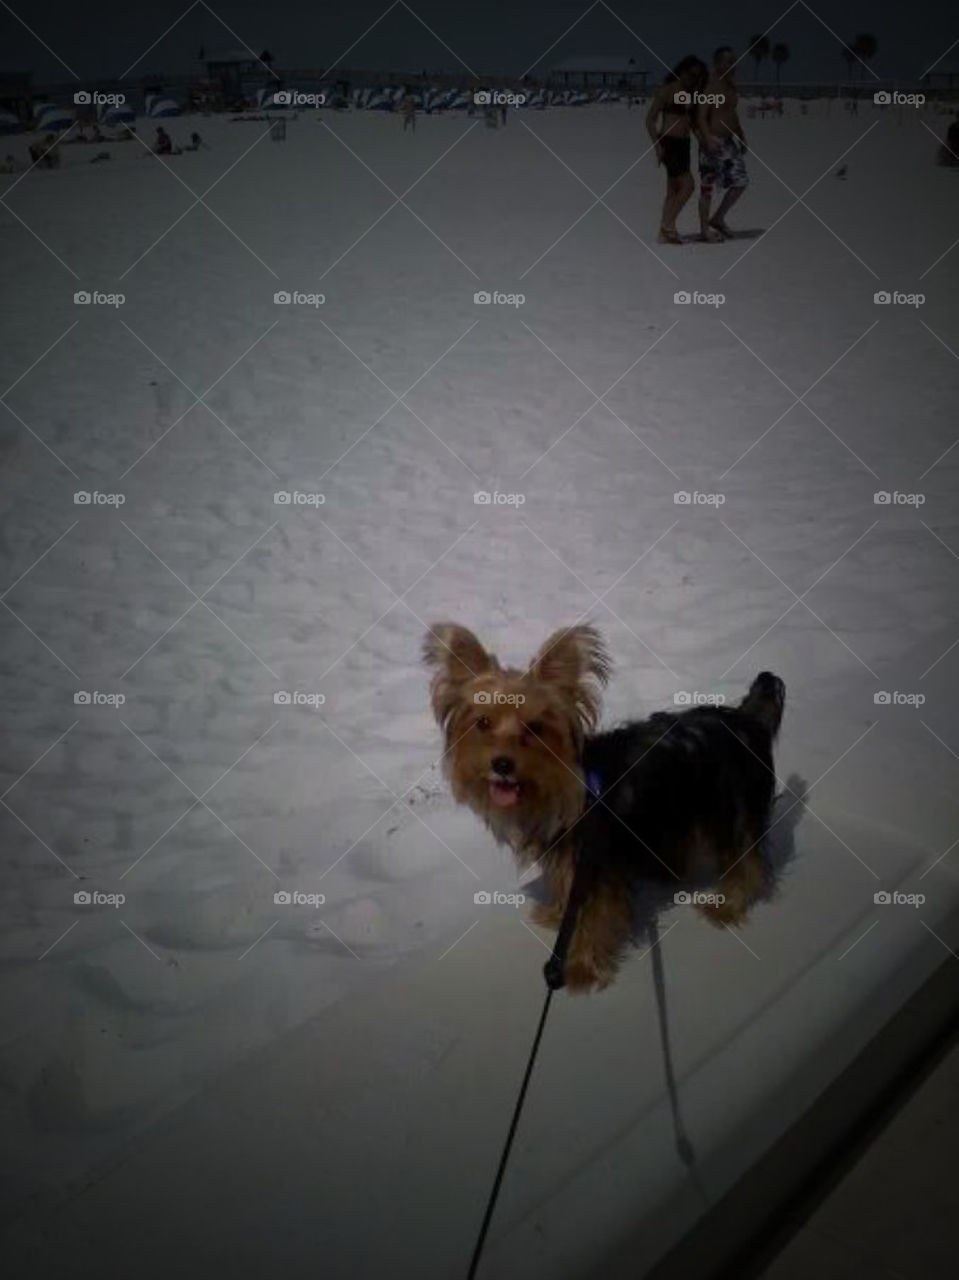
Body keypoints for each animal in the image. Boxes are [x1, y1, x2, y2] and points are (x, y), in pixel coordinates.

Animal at [422, 624, 783, 993]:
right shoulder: (570, 858)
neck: (571, 788)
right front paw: (558, 915)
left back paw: (727, 907)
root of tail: (745, 719)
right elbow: (567, 892)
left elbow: (596, 915)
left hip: (732, 805)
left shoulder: (593, 864)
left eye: (535, 727)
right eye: (482, 723)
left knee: (747, 858)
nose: (502, 764)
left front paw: (581, 968)